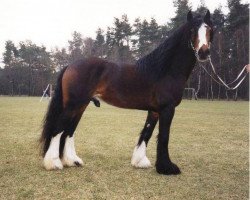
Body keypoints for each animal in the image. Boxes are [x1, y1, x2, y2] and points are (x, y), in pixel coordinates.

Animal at [40, 10, 213, 175]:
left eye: (209, 30)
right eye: (192, 30)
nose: (204, 52)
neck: (164, 70)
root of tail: (70, 65)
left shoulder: (155, 110)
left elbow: (147, 133)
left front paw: (140, 161)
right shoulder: (167, 109)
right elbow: (164, 137)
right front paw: (167, 168)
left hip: (80, 106)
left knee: (69, 131)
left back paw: (72, 161)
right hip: (73, 105)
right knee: (58, 129)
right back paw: (54, 163)